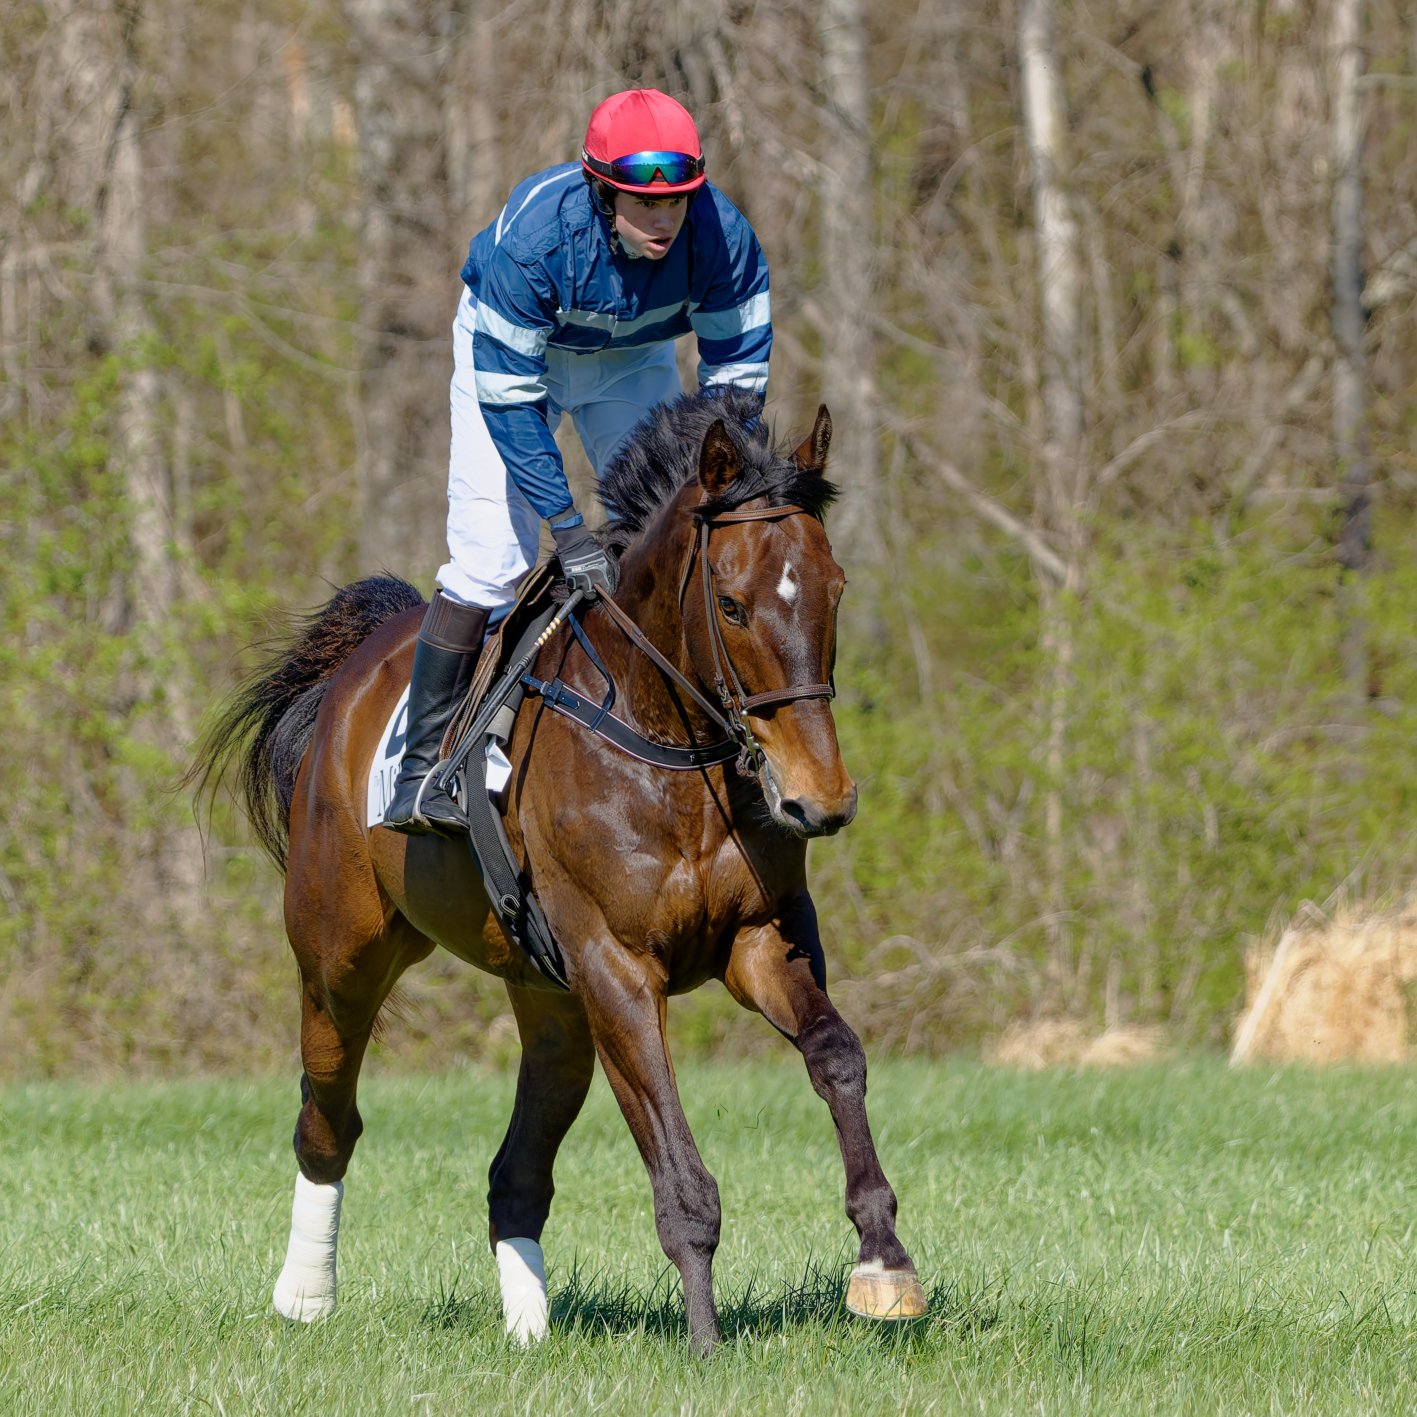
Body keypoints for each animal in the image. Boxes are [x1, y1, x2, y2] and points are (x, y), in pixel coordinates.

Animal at [190, 388, 926, 1354]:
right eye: (731, 606)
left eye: (835, 588)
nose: (820, 798)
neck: (670, 751)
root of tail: (355, 668)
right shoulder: (618, 969)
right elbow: (681, 1172)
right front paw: (705, 1340)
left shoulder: (758, 939)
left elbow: (837, 1053)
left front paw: (884, 1262)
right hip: (340, 954)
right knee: (328, 1118)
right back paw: (305, 1296)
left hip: (549, 997)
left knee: (517, 1167)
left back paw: (528, 1329)